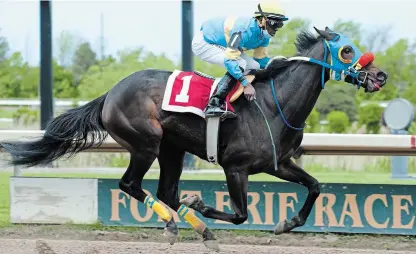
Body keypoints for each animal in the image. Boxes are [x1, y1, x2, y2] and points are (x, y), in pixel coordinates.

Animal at [1, 27, 388, 250]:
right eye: (347, 51)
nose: (380, 75)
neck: (274, 104)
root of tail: (111, 92)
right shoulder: (236, 167)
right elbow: (241, 214)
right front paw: (199, 202)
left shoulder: (278, 163)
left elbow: (315, 186)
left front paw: (287, 223)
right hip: (146, 142)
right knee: (130, 184)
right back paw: (176, 222)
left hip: (171, 149)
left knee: (165, 191)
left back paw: (197, 228)